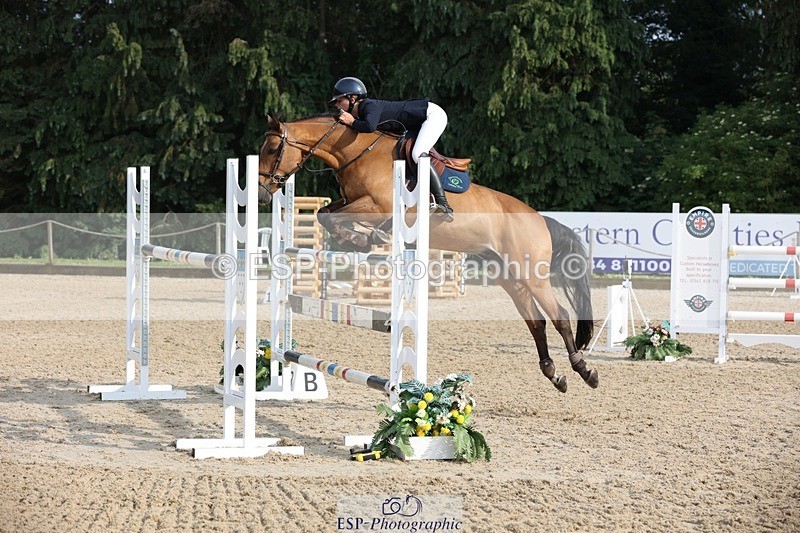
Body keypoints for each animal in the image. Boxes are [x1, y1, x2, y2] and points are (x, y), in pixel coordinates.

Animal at [258, 113, 598, 393]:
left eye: (273, 149)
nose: (262, 194)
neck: (356, 152)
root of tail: (540, 219)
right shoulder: (351, 202)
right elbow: (325, 214)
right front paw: (360, 238)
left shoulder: (378, 205)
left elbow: (334, 218)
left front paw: (363, 238)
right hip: (509, 276)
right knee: (536, 322)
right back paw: (555, 374)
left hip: (531, 274)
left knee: (560, 317)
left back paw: (584, 370)